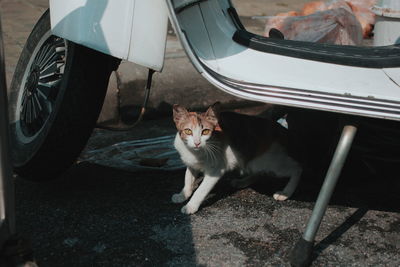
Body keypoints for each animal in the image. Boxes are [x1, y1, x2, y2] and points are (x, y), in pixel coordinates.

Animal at [170, 103, 302, 216]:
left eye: (205, 131)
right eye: (188, 131)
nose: (197, 143)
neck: (195, 153)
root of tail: (279, 128)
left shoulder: (215, 171)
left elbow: (201, 190)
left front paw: (190, 206)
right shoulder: (191, 163)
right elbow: (188, 178)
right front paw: (183, 194)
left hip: (268, 161)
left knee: (297, 168)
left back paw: (286, 193)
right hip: (254, 162)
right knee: (260, 172)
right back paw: (242, 182)